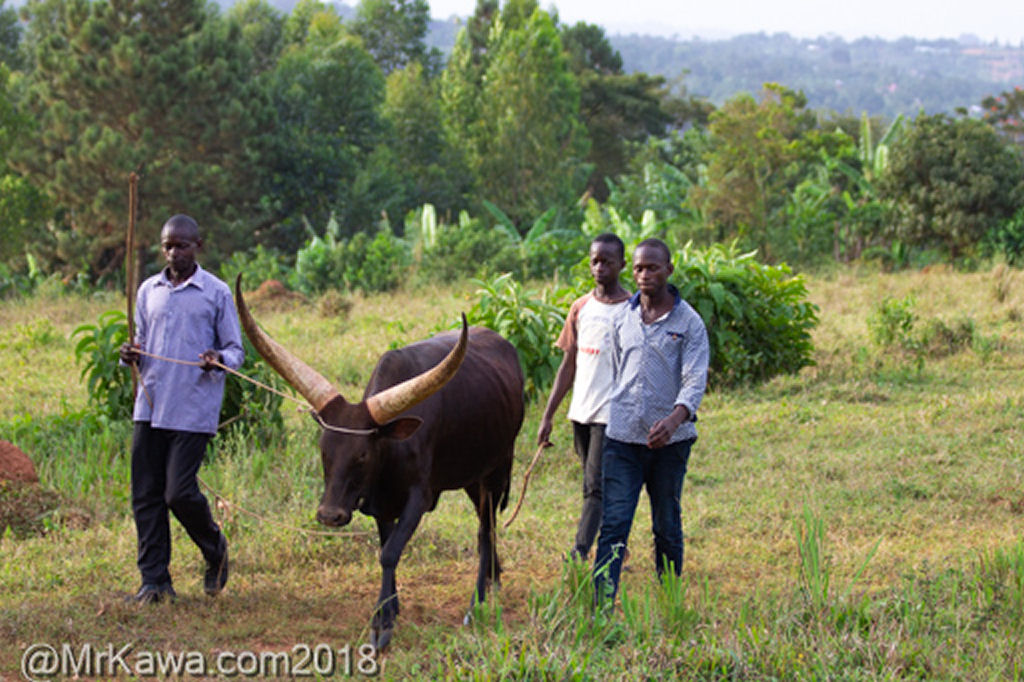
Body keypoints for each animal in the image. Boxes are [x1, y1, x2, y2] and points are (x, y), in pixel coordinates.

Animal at [235, 278, 524, 647]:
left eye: (362, 454)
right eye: (323, 449)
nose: (329, 515)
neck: (389, 451)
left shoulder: (418, 497)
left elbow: (389, 553)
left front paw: (381, 625)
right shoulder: (380, 503)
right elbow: (387, 547)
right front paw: (389, 608)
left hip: (496, 471)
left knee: (485, 531)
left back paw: (478, 602)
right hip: (472, 477)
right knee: (486, 526)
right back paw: (494, 578)